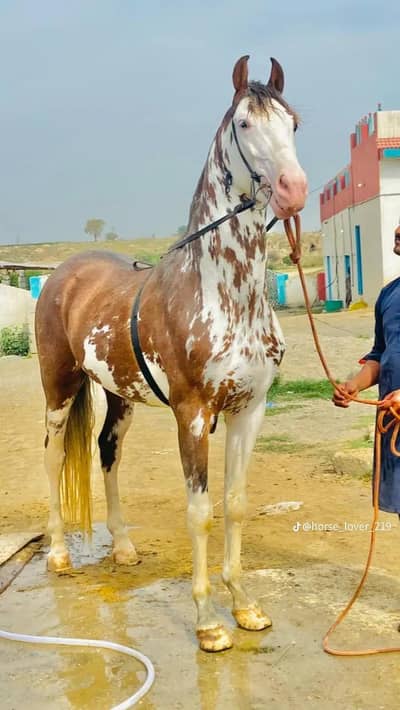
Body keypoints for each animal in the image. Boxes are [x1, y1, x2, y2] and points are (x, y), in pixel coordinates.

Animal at [35, 55, 307, 652]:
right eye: (245, 124)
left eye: (294, 123)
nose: (293, 189)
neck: (221, 293)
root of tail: (64, 273)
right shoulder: (193, 414)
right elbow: (200, 511)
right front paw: (208, 622)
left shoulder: (249, 411)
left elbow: (235, 505)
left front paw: (244, 606)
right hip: (59, 388)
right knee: (54, 455)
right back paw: (60, 554)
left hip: (119, 396)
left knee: (106, 453)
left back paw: (123, 548)